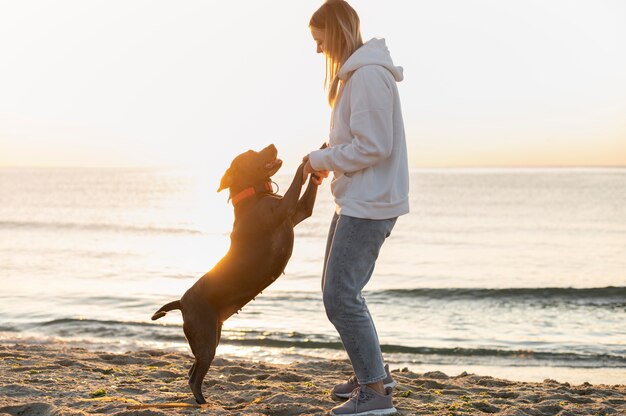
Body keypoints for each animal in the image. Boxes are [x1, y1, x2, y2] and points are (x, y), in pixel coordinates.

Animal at [150, 145, 316, 404]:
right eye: (251, 154)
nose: (272, 145)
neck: (255, 195)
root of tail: (182, 302)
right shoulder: (284, 208)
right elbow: (298, 177)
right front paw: (307, 162)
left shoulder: (300, 211)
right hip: (206, 340)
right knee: (194, 377)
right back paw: (203, 401)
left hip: (211, 334)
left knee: (192, 369)